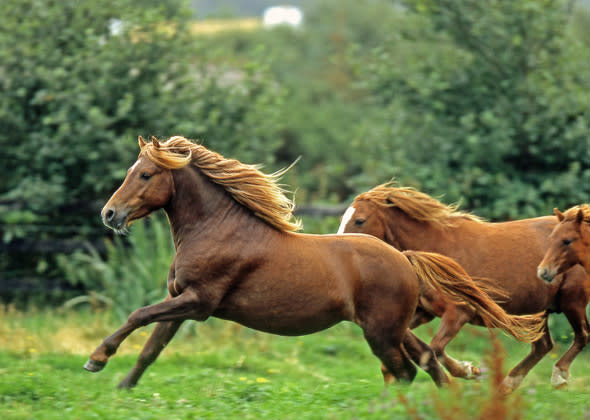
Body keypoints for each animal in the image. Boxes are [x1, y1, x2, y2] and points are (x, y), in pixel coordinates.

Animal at [84, 137, 540, 390]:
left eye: (145, 175)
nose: (109, 214)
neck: (217, 229)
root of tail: (405, 258)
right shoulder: (181, 302)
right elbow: (151, 348)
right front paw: (123, 386)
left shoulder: (199, 302)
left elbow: (137, 315)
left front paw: (96, 359)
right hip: (391, 327)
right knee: (427, 360)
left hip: (380, 331)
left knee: (407, 371)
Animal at [340, 182, 590, 392]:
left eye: (360, 220)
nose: (341, 244)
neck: (435, 247)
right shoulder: (423, 312)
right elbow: (408, 342)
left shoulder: (459, 311)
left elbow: (435, 349)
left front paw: (469, 371)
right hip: (536, 311)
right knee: (543, 346)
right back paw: (507, 385)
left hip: (572, 301)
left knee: (582, 335)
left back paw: (558, 376)